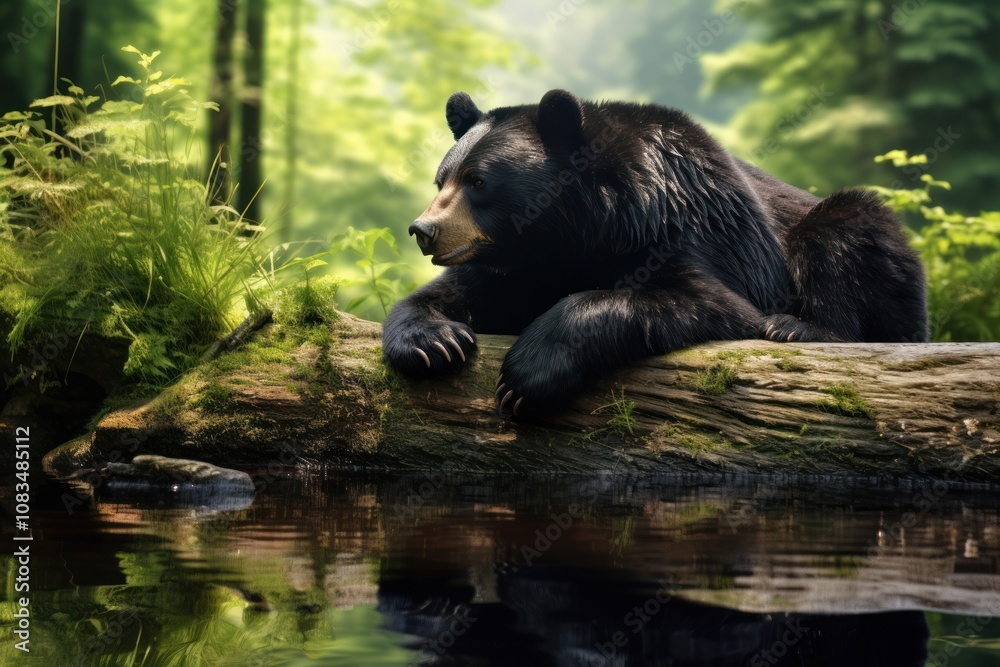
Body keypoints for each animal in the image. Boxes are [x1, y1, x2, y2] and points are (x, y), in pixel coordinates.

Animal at [381, 89, 929, 419]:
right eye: (441, 180)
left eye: (479, 182)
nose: (424, 230)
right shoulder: (520, 264)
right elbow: (450, 293)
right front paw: (434, 341)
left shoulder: (690, 226)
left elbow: (704, 298)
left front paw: (526, 377)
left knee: (846, 234)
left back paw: (799, 327)